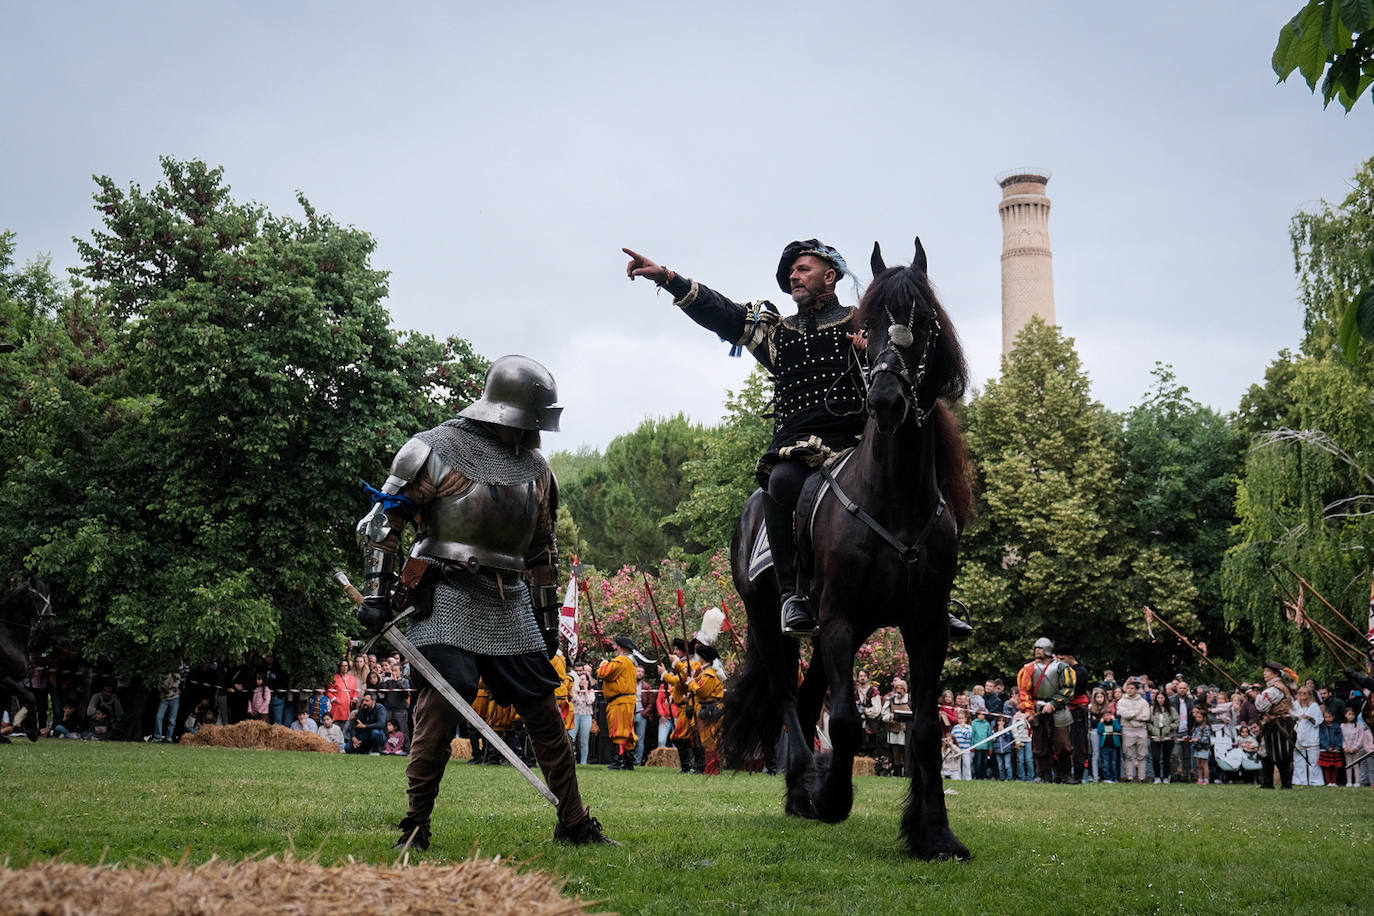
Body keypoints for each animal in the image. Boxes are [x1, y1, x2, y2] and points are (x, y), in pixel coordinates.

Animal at [0, 576, 54, 741]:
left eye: (49, 598)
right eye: (36, 598)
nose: (50, 624)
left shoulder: (13, 682)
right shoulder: (4, 678)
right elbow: (30, 696)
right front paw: (32, 730)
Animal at [725, 236, 972, 862]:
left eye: (923, 320)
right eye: (868, 325)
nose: (884, 399)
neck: (894, 495)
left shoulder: (925, 624)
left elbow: (925, 727)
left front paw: (934, 833)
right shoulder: (837, 619)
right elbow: (844, 720)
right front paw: (833, 799)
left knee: (809, 692)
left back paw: (804, 789)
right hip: (770, 617)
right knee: (789, 696)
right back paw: (803, 786)